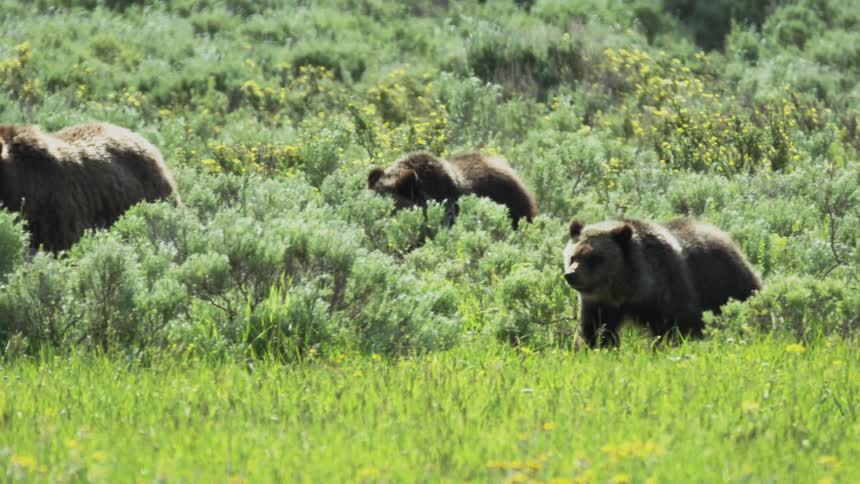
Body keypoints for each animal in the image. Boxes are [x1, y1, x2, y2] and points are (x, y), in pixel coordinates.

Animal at [562, 218, 761, 348]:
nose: (571, 275)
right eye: (573, 256)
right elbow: (596, 330)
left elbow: (677, 327)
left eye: (594, 258)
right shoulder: (600, 304)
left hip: (725, 281)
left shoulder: (668, 289)